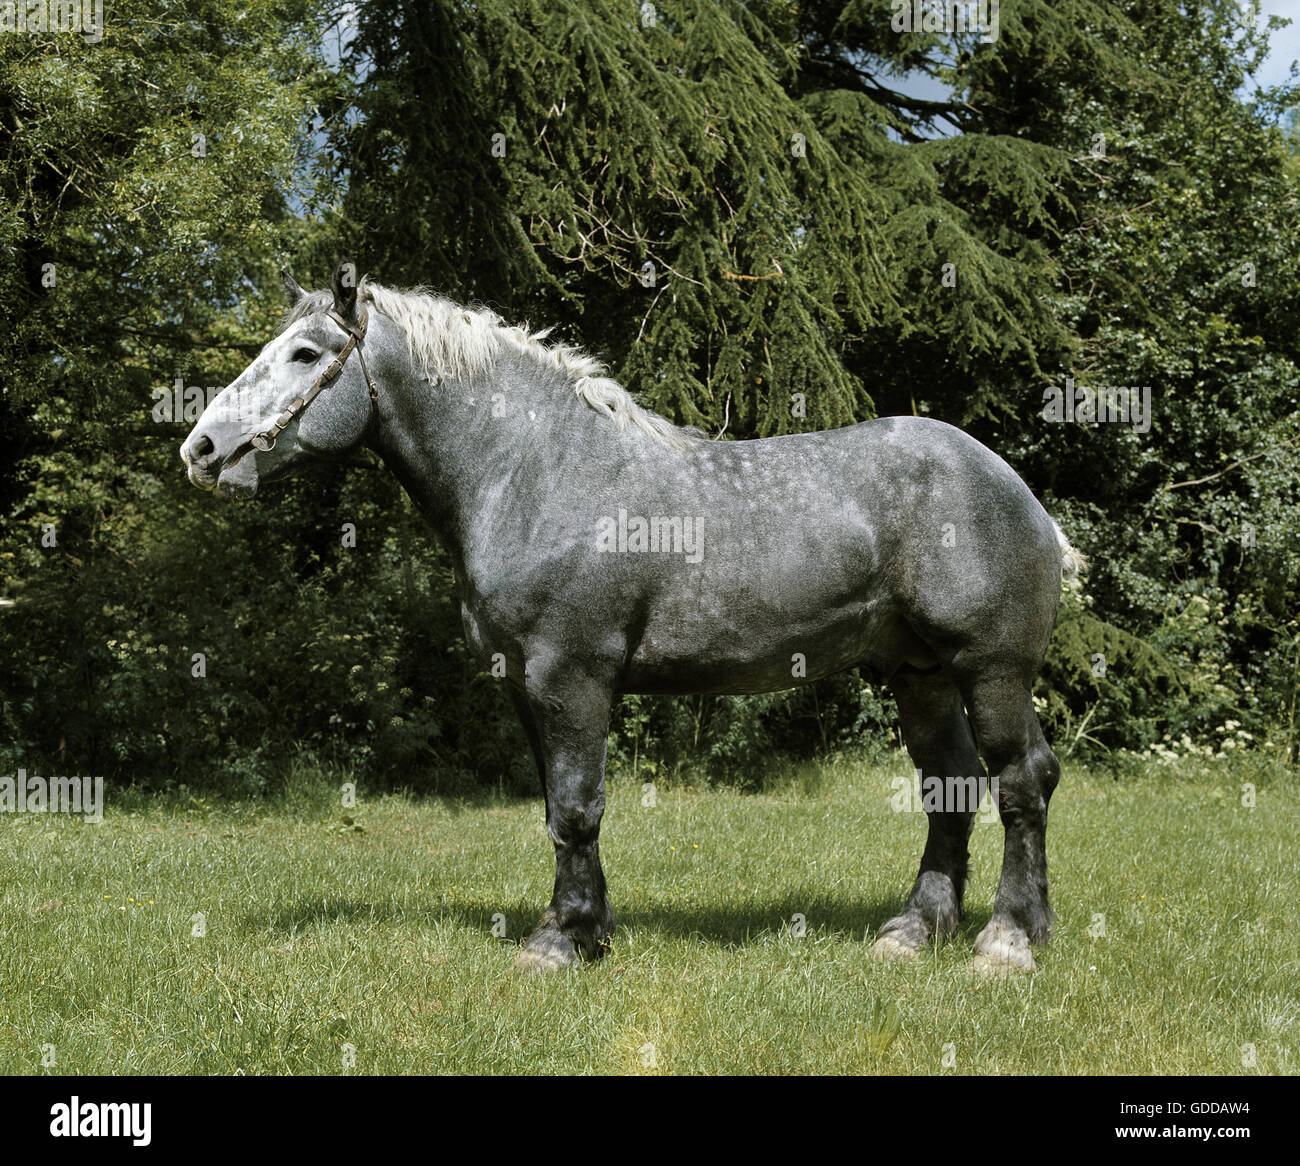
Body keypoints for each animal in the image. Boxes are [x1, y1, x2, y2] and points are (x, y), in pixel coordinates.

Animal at [181, 259, 1084, 974]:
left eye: (305, 354)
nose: (202, 448)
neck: (537, 470)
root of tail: (1020, 494)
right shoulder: (527, 685)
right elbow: (558, 810)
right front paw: (584, 929)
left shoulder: (572, 675)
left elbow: (580, 807)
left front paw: (561, 944)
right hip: (917, 672)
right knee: (950, 786)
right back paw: (915, 931)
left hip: (990, 669)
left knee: (1021, 780)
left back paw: (1009, 939)